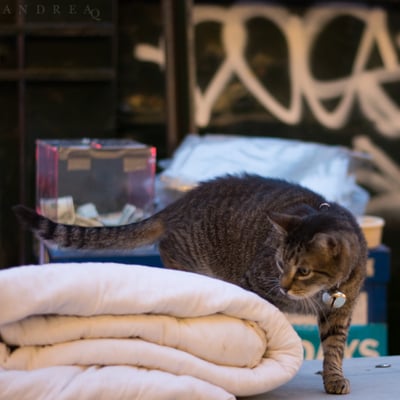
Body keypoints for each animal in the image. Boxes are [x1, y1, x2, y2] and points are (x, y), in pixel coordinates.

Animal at [14, 174, 368, 394]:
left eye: (303, 270)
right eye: (281, 263)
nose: (283, 286)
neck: (324, 292)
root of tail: (177, 204)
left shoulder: (341, 311)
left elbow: (335, 348)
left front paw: (334, 378)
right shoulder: (255, 282)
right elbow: (266, 316)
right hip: (194, 266)